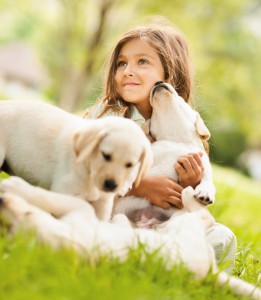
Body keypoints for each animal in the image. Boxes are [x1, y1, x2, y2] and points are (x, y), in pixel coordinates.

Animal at [112, 82, 214, 227]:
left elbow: (207, 178)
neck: (176, 139)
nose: (158, 83)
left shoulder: (202, 163)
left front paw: (206, 192)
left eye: (181, 98)